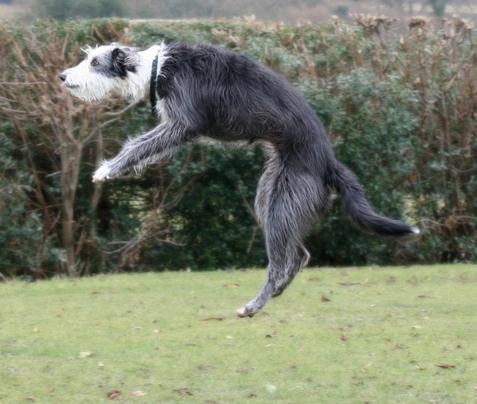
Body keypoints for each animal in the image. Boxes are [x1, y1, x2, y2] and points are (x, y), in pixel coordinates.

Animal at [59, 42, 416, 318]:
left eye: (94, 62)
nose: (62, 76)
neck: (157, 68)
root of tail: (329, 161)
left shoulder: (182, 123)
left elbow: (141, 146)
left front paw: (107, 169)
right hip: (270, 197)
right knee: (298, 254)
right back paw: (277, 292)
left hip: (284, 200)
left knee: (281, 262)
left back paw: (253, 306)